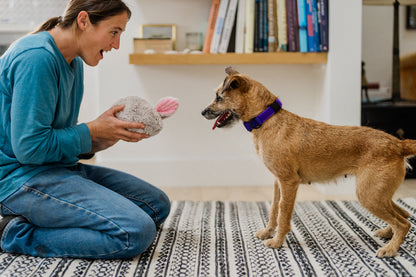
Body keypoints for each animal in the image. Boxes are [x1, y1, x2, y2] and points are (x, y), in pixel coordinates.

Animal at [202, 67, 412, 256]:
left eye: (219, 97)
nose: (203, 112)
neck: (267, 118)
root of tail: (399, 144)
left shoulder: (289, 182)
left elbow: (283, 212)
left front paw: (277, 241)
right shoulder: (278, 182)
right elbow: (273, 208)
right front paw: (267, 232)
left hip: (369, 195)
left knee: (404, 223)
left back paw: (391, 249)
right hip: (378, 194)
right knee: (404, 213)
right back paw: (387, 234)